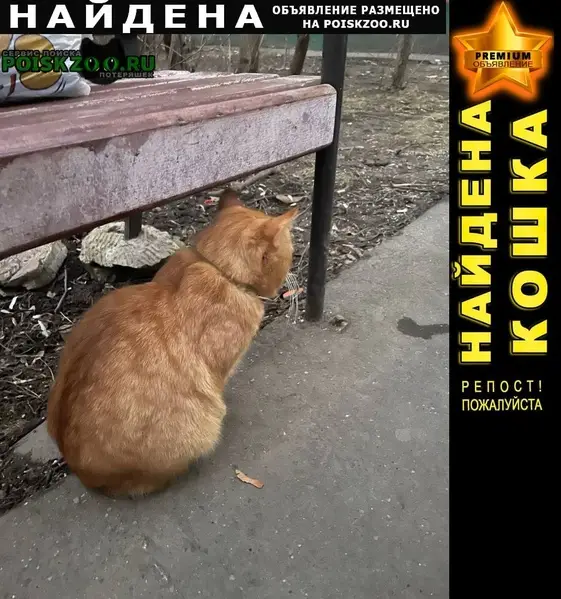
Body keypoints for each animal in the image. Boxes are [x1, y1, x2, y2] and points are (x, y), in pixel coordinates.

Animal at [47, 189, 298, 497]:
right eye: (290, 251)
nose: (292, 271)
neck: (218, 268)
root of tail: (84, 475)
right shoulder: (218, 369)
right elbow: (217, 387)